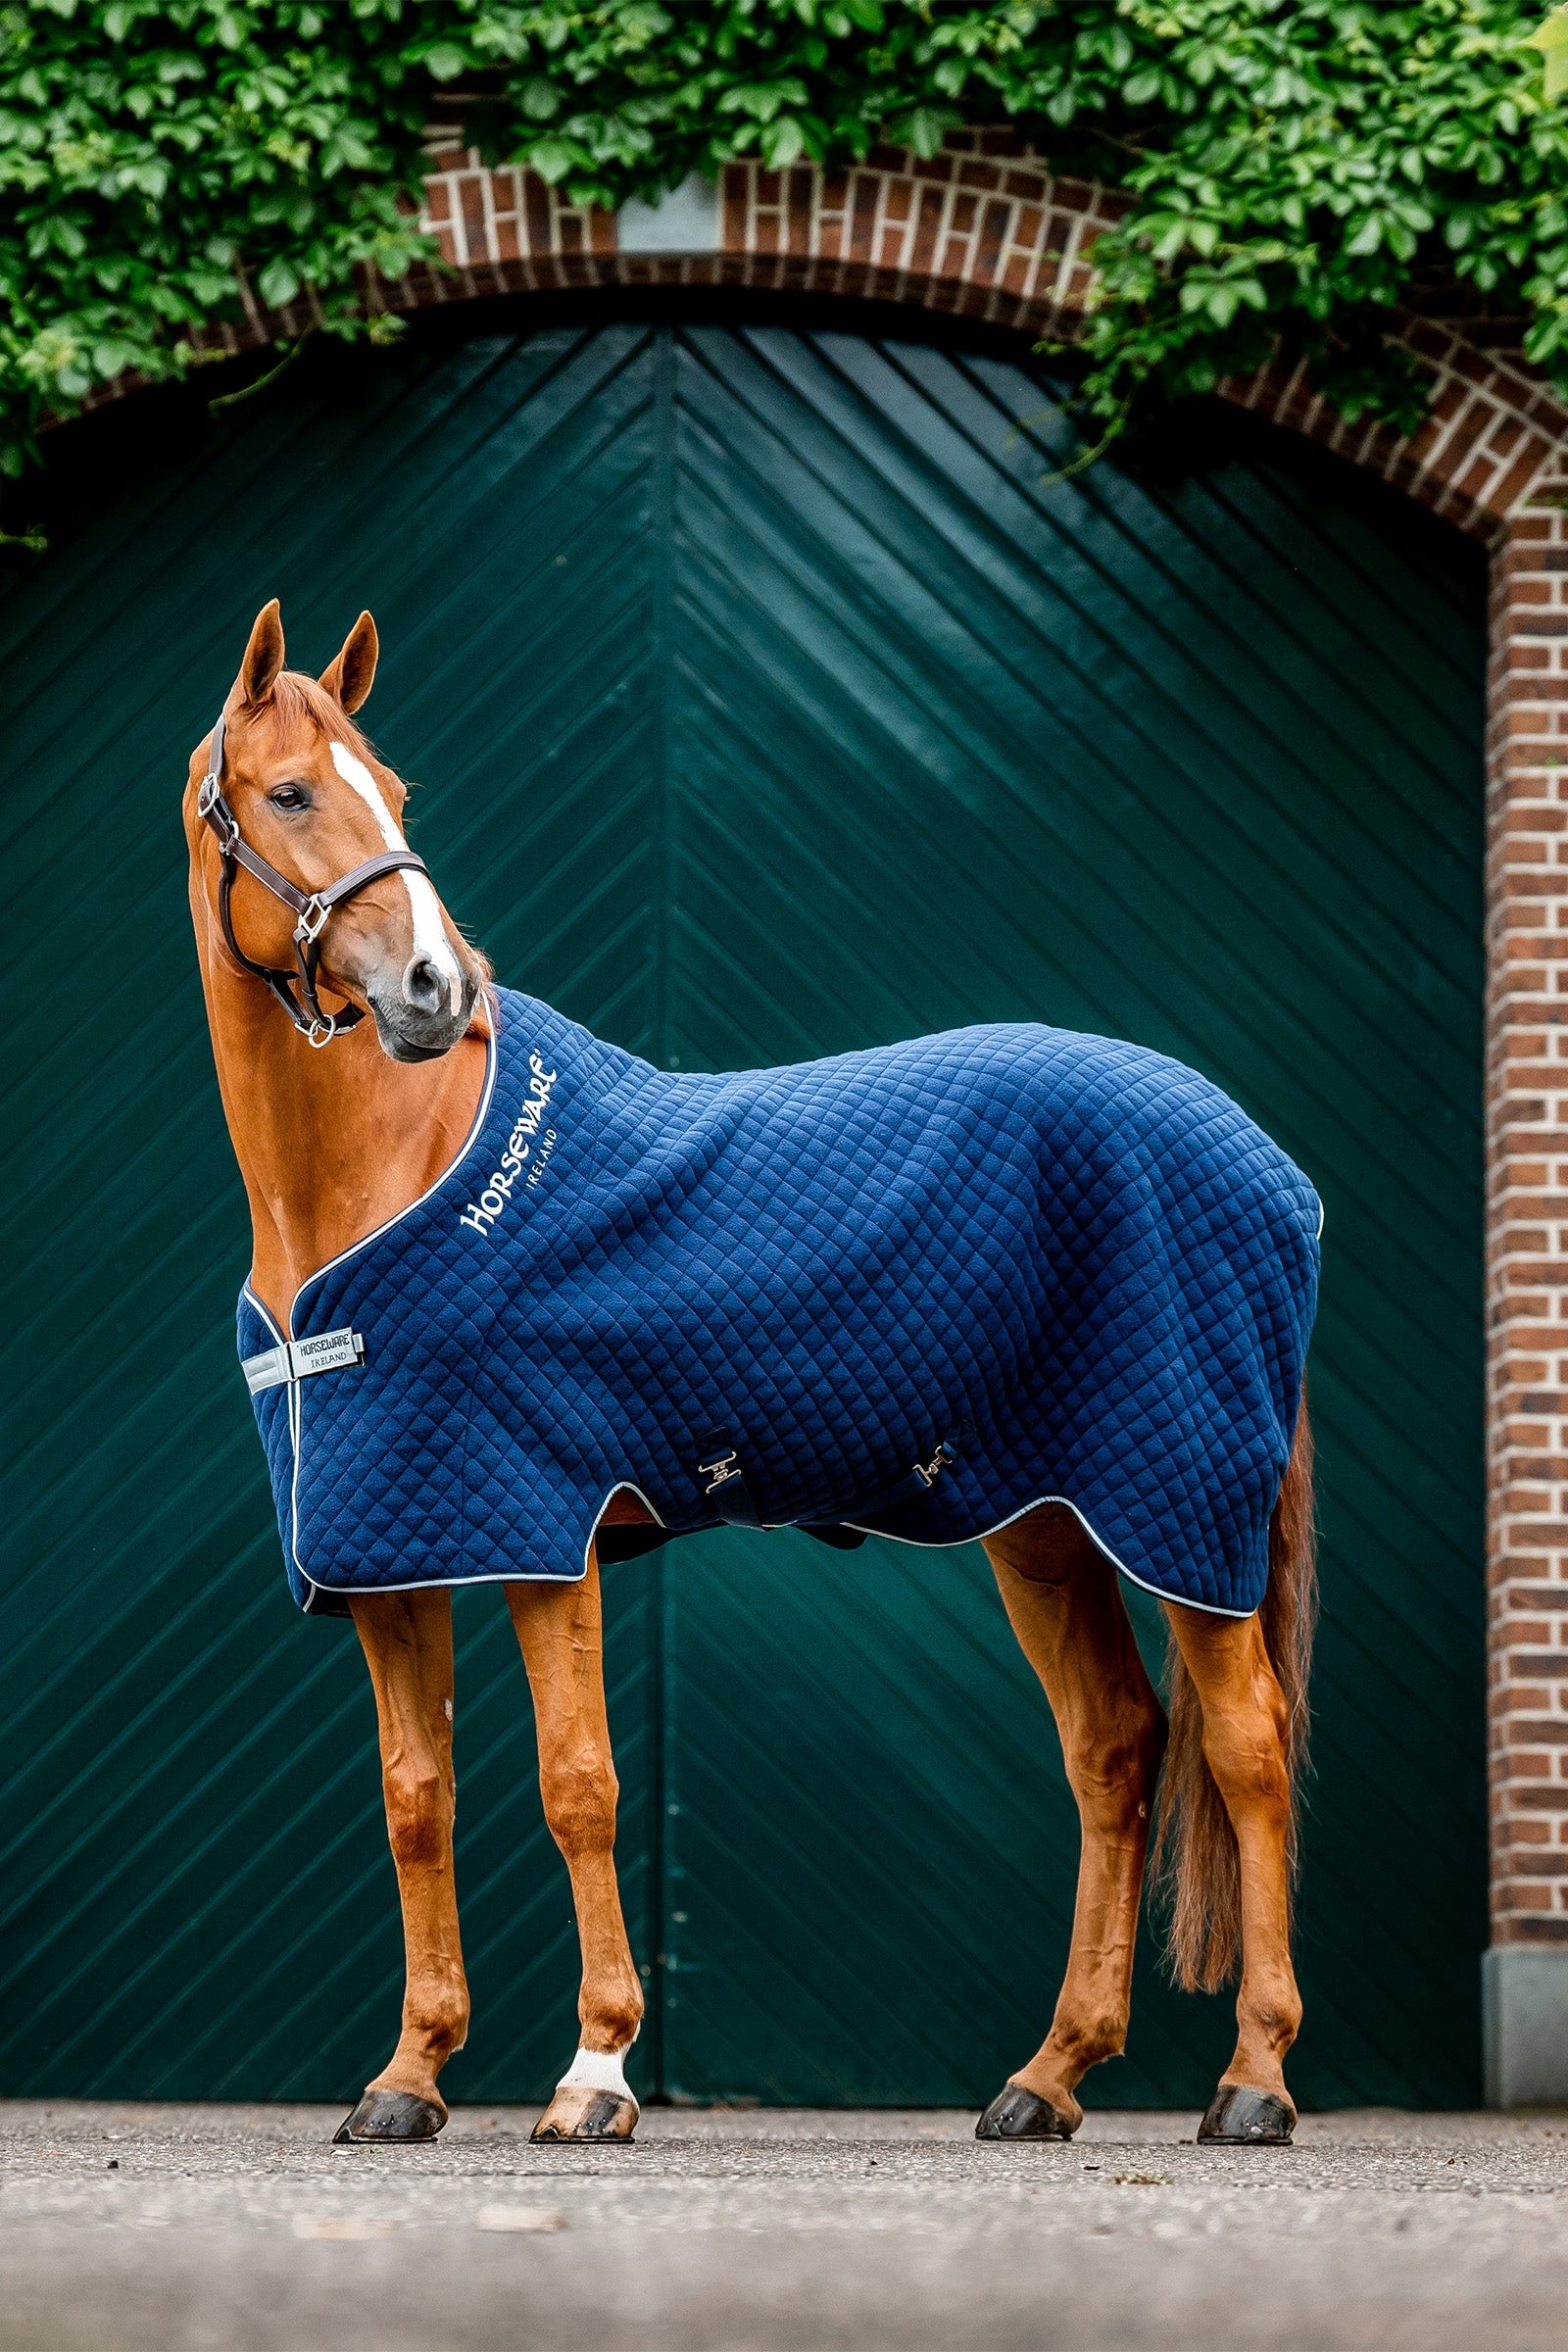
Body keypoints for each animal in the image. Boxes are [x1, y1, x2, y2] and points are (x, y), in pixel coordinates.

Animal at [186, 599, 1318, 2150]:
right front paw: (406, 2081)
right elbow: (417, 1800)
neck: (381, 1172)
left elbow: (579, 1786)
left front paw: (596, 2076)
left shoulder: (540, 1530)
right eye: (294, 793)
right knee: (1115, 1749)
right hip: (1044, 1522)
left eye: (394, 792)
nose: (435, 988)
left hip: (1181, 1510)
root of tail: (1266, 1163)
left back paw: (1253, 2081)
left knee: (1250, 1747)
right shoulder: (391, 1551)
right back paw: (1047, 2077)